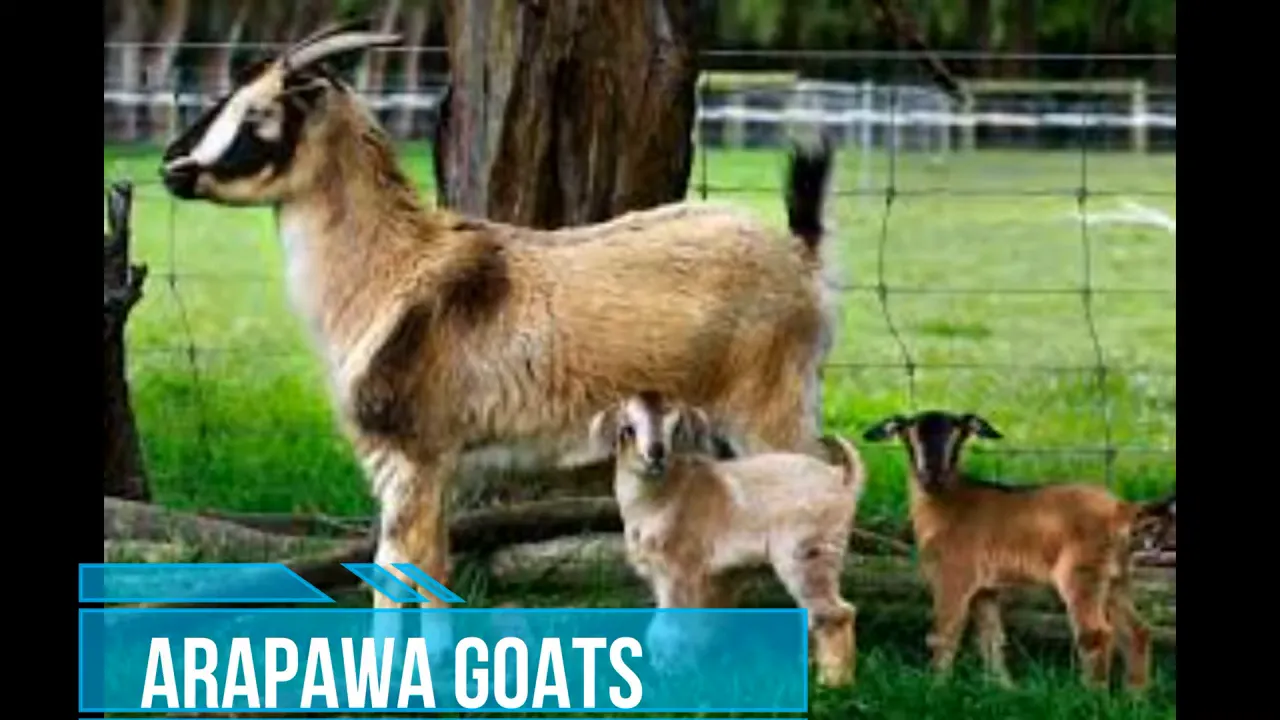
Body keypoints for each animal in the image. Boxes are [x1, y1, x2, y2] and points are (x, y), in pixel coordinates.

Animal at [156, 20, 840, 636]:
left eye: (259, 114)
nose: (172, 167)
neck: (394, 268)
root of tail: (801, 257)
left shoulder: (410, 457)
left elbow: (395, 573)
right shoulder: (438, 468)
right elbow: (432, 570)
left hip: (769, 405)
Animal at [588, 390, 867, 687]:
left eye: (675, 428)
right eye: (628, 428)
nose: (656, 454)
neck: (668, 493)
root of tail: (842, 478)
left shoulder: (681, 571)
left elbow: (671, 628)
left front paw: (671, 676)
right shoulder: (712, 578)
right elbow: (704, 626)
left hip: (807, 554)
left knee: (836, 613)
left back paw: (833, 683)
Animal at [860, 410, 1176, 692]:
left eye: (959, 434)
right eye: (908, 433)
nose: (932, 474)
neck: (948, 503)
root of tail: (1120, 509)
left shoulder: (953, 577)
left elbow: (943, 634)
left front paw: (935, 689)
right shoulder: (984, 589)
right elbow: (991, 637)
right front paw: (1005, 689)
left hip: (1082, 575)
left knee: (1096, 634)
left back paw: (1092, 699)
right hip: (1116, 579)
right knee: (1137, 632)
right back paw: (1135, 699)